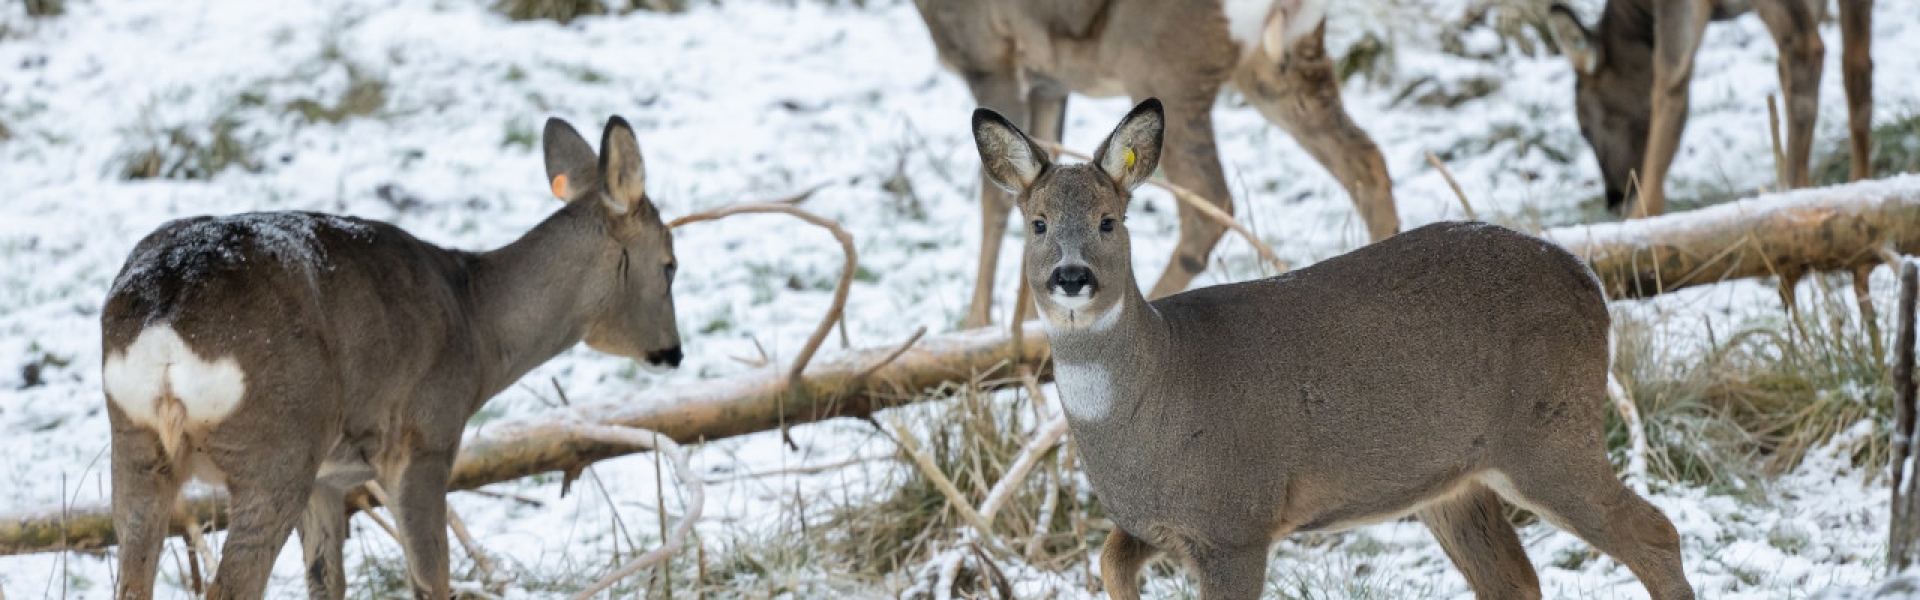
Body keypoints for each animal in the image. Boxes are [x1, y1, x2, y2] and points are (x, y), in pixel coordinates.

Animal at [105, 114, 687, 596]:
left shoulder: (328, 477)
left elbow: (326, 581)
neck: (478, 327)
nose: (674, 352)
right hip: (274, 450)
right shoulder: (425, 440)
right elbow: (430, 578)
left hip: (135, 447)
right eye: (670, 263)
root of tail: (167, 316)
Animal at [913, 0, 1397, 328]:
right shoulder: (1049, 81)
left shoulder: (990, 56)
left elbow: (992, 202)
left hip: (1164, 64)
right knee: (1365, 158)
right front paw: (1023, 329)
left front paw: (978, 331)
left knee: (1211, 199)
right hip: (1283, 61)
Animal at [975, 98, 1697, 600]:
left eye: (1109, 221)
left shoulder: (1236, 520)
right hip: (1452, 480)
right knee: (1515, 580)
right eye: (1037, 224)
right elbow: (1106, 562)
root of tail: (1591, 282)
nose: (1072, 277)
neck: (1152, 398)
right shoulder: (1151, 526)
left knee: (1655, 532)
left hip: (1549, 433)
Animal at [1543, 0, 1873, 215]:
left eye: (1584, 127)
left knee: (1806, 50)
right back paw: (1858, 188)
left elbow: (1670, 80)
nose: (1614, 198)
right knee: (1856, 67)